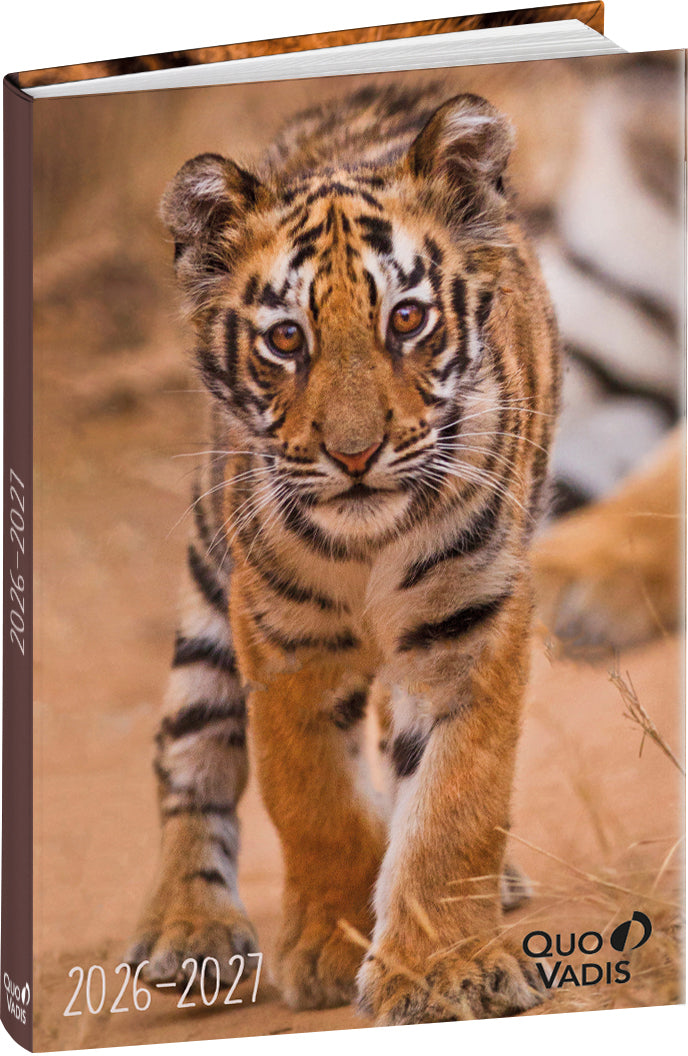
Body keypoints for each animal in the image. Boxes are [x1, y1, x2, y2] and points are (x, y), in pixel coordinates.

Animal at [125, 84, 560, 1025]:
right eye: (287, 339)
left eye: (408, 320)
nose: (355, 454)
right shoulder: (282, 639)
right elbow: (311, 796)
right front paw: (331, 947)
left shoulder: (472, 625)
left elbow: (458, 801)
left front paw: (440, 972)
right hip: (211, 577)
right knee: (189, 745)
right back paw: (188, 928)